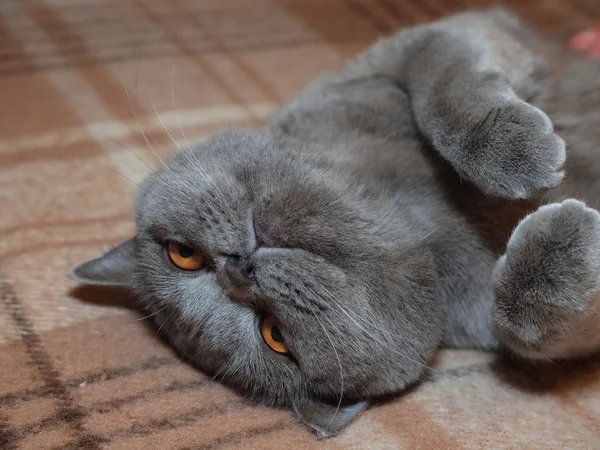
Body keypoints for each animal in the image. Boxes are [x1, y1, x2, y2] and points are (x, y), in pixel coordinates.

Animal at [68, 8, 600, 438]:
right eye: (274, 336)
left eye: (183, 254)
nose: (238, 268)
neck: (404, 208)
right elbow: (525, 329)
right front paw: (563, 246)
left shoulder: (411, 51)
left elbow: (442, 81)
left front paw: (517, 155)